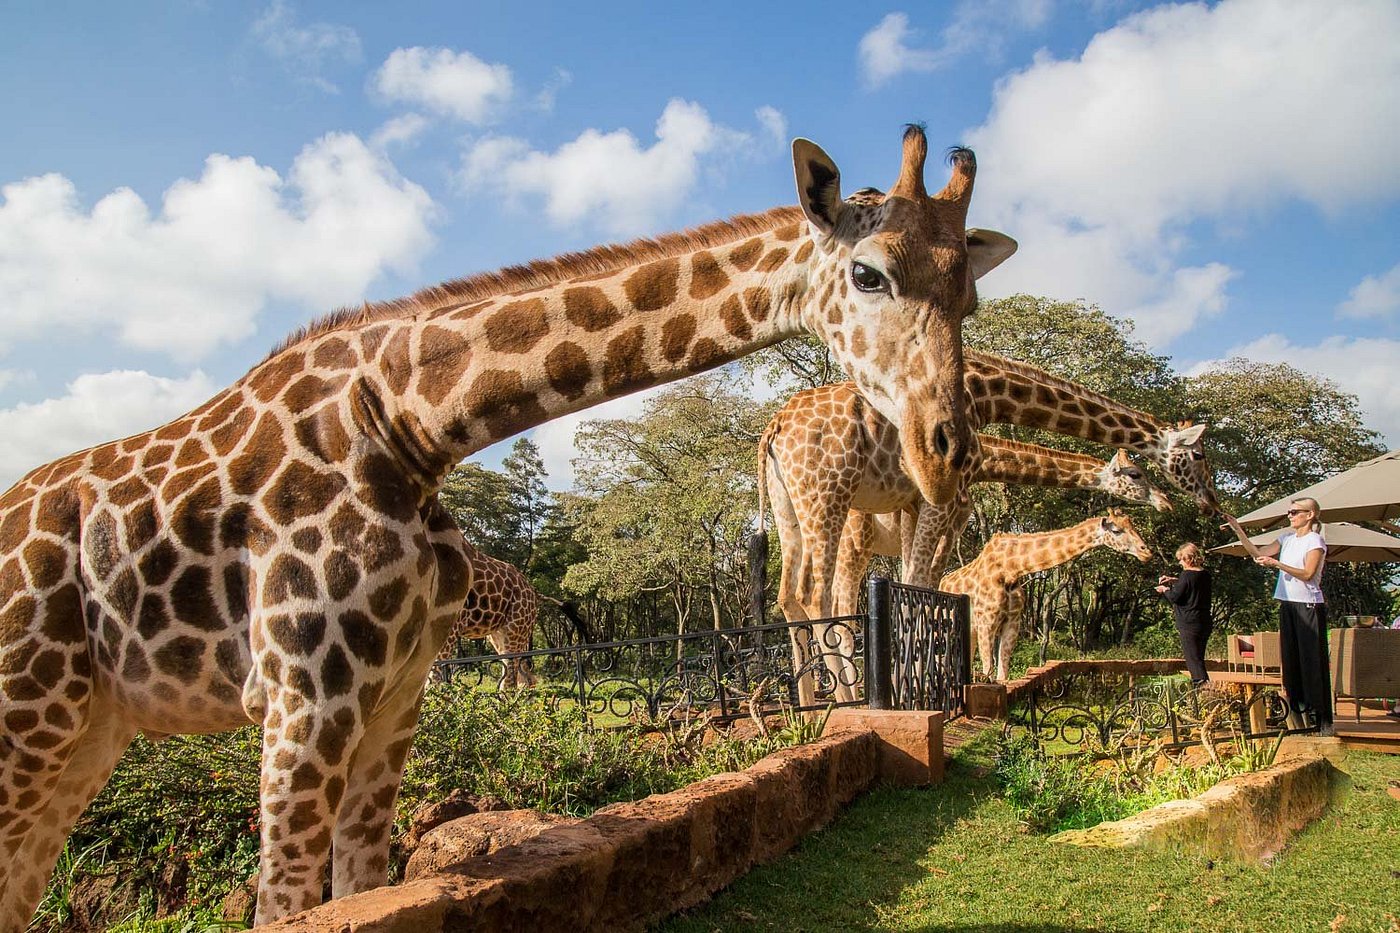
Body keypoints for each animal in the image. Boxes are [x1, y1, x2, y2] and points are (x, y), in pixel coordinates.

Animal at [940, 508, 1154, 681]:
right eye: (1116, 531)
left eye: (1133, 526)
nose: (1147, 552)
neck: (1011, 569)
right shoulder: (987, 621)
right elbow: (989, 670)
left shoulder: (1012, 622)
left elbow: (1002, 674)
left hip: (970, 629)